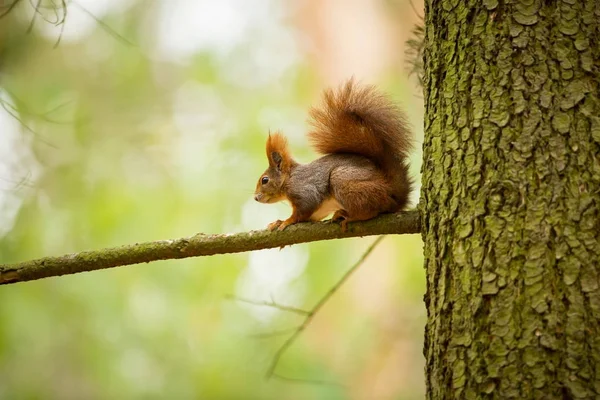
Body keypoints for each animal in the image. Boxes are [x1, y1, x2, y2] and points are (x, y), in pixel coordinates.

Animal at [253, 78, 412, 231]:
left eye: (265, 180)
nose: (255, 198)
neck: (289, 179)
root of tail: (392, 191)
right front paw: (278, 221)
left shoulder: (304, 190)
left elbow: (302, 210)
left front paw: (286, 221)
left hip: (344, 180)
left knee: (370, 211)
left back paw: (350, 216)